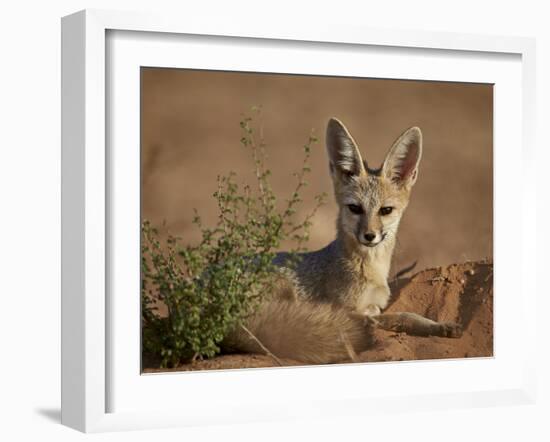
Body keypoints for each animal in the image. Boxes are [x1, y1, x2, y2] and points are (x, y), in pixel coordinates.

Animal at [222, 117, 464, 362]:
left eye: (385, 210)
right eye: (355, 208)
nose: (369, 236)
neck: (371, 269)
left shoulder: (375, 304)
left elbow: (402, 314)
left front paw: (439, 325)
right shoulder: (348, 308)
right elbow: (399, 316)